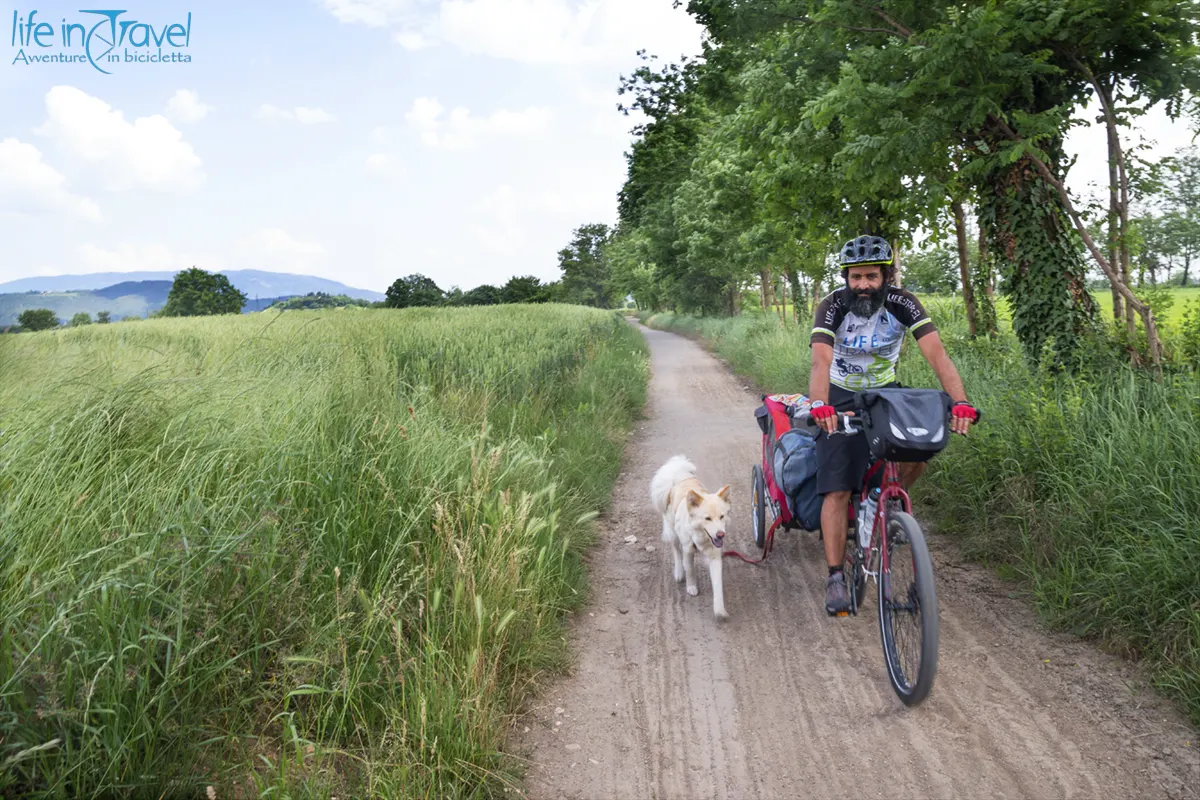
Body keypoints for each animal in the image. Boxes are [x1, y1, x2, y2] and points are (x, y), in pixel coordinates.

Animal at [652, 455, 724, 618]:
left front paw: (720, 609)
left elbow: (718, 583)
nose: (720, 534)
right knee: (676, 552)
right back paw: (679, 572)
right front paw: (691, 587)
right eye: (707, 518)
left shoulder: (715, 555)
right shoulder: (688, 550)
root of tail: (677, 480)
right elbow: (690, 570)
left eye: (722, 517)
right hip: (673, 534)